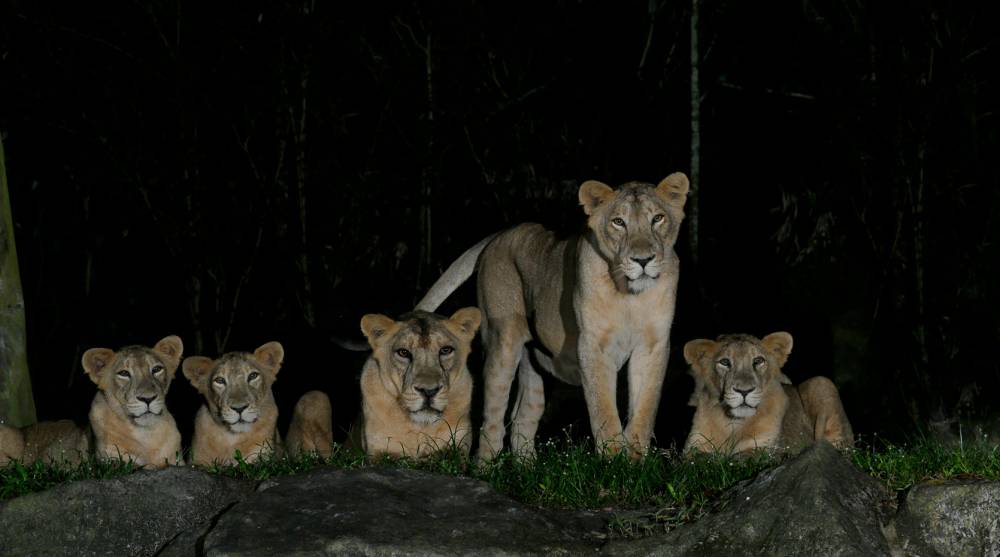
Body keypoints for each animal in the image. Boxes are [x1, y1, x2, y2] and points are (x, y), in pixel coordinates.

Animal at [82, 335, 184, 468]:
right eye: (124, 373)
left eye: (157, 369)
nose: (148, 398)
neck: (146, 434)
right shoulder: (107, 462)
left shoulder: (178, 459)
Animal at [358, 307, 481, 458]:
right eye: (403, 352)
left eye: (445, 350)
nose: (429, 391)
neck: (420, 428)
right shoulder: (378, 449)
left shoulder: (457, 445)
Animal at [416, 175, 688, 460]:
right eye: (618, 222)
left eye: (657, 218)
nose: (643, 260)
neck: (630, 297)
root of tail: (501, 233)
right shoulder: (592, 345)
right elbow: (604, 409)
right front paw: (614, 461)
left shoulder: (653, 345)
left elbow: (645, 409)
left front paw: (635, 460)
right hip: (502, 343)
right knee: (493, 419)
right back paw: (486, 465)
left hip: (535, 363)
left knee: (522, 418)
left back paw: (526, 467)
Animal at [682, 332, 854, 454]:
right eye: (725, 362)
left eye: (758, 361)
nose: (744, 391)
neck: (733, 424)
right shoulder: (694, 447)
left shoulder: (766, 449)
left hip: (821, 382)